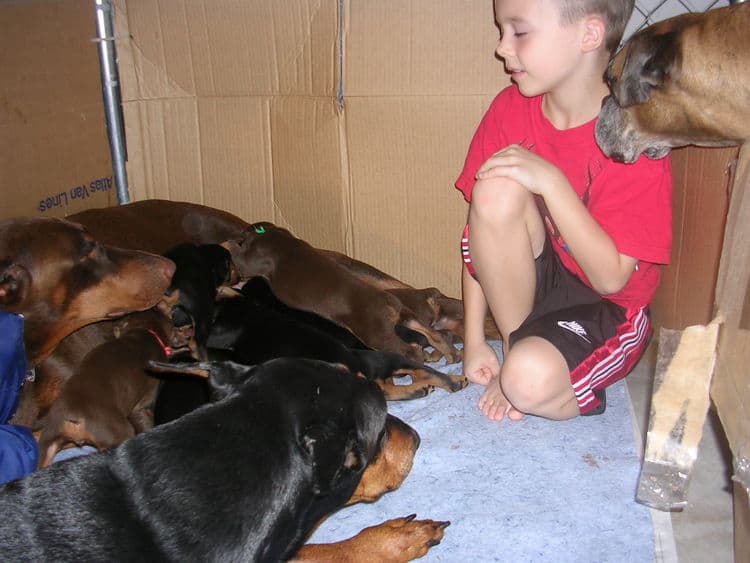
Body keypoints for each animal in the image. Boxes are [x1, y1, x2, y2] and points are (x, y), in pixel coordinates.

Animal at [220, 223, 462, 364]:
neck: (270, 233)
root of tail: (389, 303)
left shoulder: (249, 262)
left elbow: (236, 254)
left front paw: (227, 242)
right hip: (407, 316)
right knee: (433, 334)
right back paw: (450, 354)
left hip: (378, 336)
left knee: (408, 350)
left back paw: (422, 356)